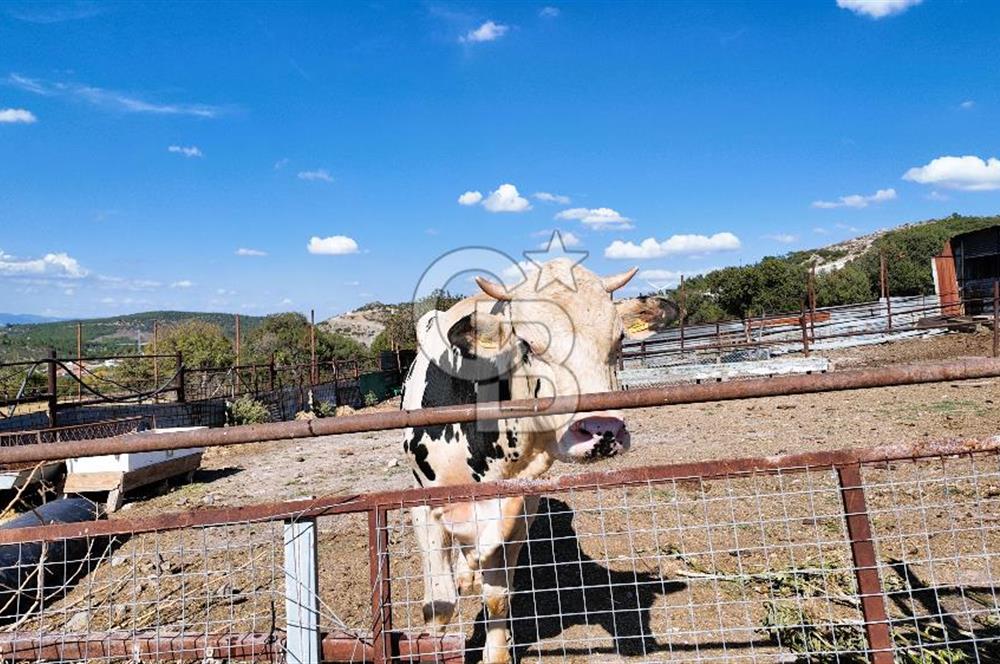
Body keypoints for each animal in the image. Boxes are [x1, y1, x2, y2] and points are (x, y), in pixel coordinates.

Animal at [402, 260, 676, 664]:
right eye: (528, 345)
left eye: (619, 339)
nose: (603, 429)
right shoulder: (424, 507)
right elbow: (439, 605)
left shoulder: (517, 511)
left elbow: (497, 597)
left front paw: (496, 651)